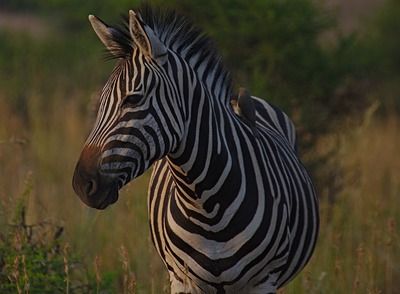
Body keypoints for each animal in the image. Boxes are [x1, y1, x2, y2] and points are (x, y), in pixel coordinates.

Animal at [72, 6, 318, 294]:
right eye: (100, 102)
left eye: (133, 99)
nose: (81, 184)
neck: (207, 206)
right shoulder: (183, 280)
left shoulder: (263, 281)